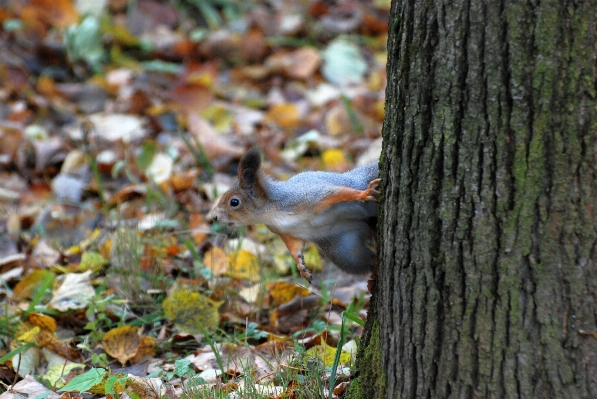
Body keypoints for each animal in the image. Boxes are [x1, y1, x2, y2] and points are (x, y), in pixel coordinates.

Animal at [211, 148, 378, 282]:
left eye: (234, 202)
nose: (214, 217)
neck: (272, 212)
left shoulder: (308, 198)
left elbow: (335, 193)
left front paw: (363, 194)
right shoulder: (286, 232)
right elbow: (294, 248)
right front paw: (301, 267)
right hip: (344, 252)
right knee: (367, 260)